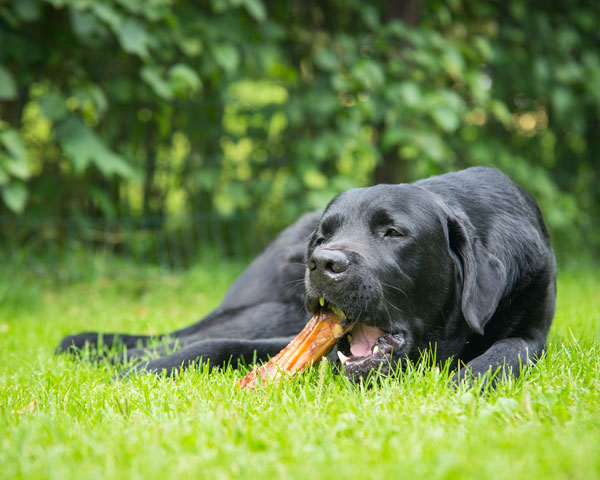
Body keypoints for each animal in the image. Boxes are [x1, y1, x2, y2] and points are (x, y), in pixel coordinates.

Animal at [58, 167, 556, 384]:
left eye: (393, 232)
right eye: (323, 236)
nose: (322, 262)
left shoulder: (534, 332)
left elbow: (506, 351)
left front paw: (465, 382)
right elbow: (215, 345)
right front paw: (143, 371)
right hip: (270, 309)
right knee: (190, 333)